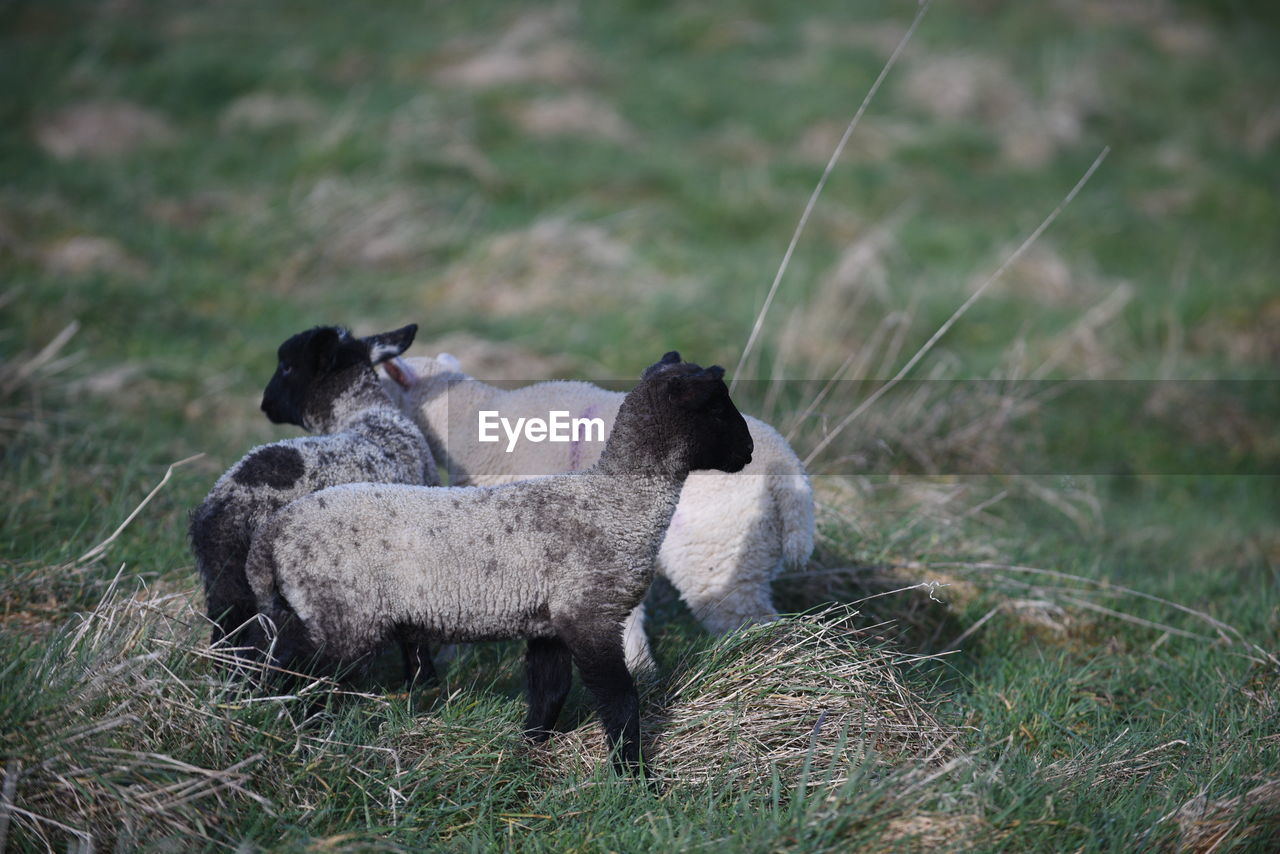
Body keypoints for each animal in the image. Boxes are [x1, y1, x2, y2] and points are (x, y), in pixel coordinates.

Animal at [244, 353, 752, 773]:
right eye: (718, 409)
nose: (748, 452)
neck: (618, 501)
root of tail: (273, 531)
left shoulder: (550, 621)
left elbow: (549, 691)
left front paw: (529, 750)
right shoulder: (588, 612)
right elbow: (620, 700)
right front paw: (634, 775)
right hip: (343, 615)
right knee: (303, 673)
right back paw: (293, 731)